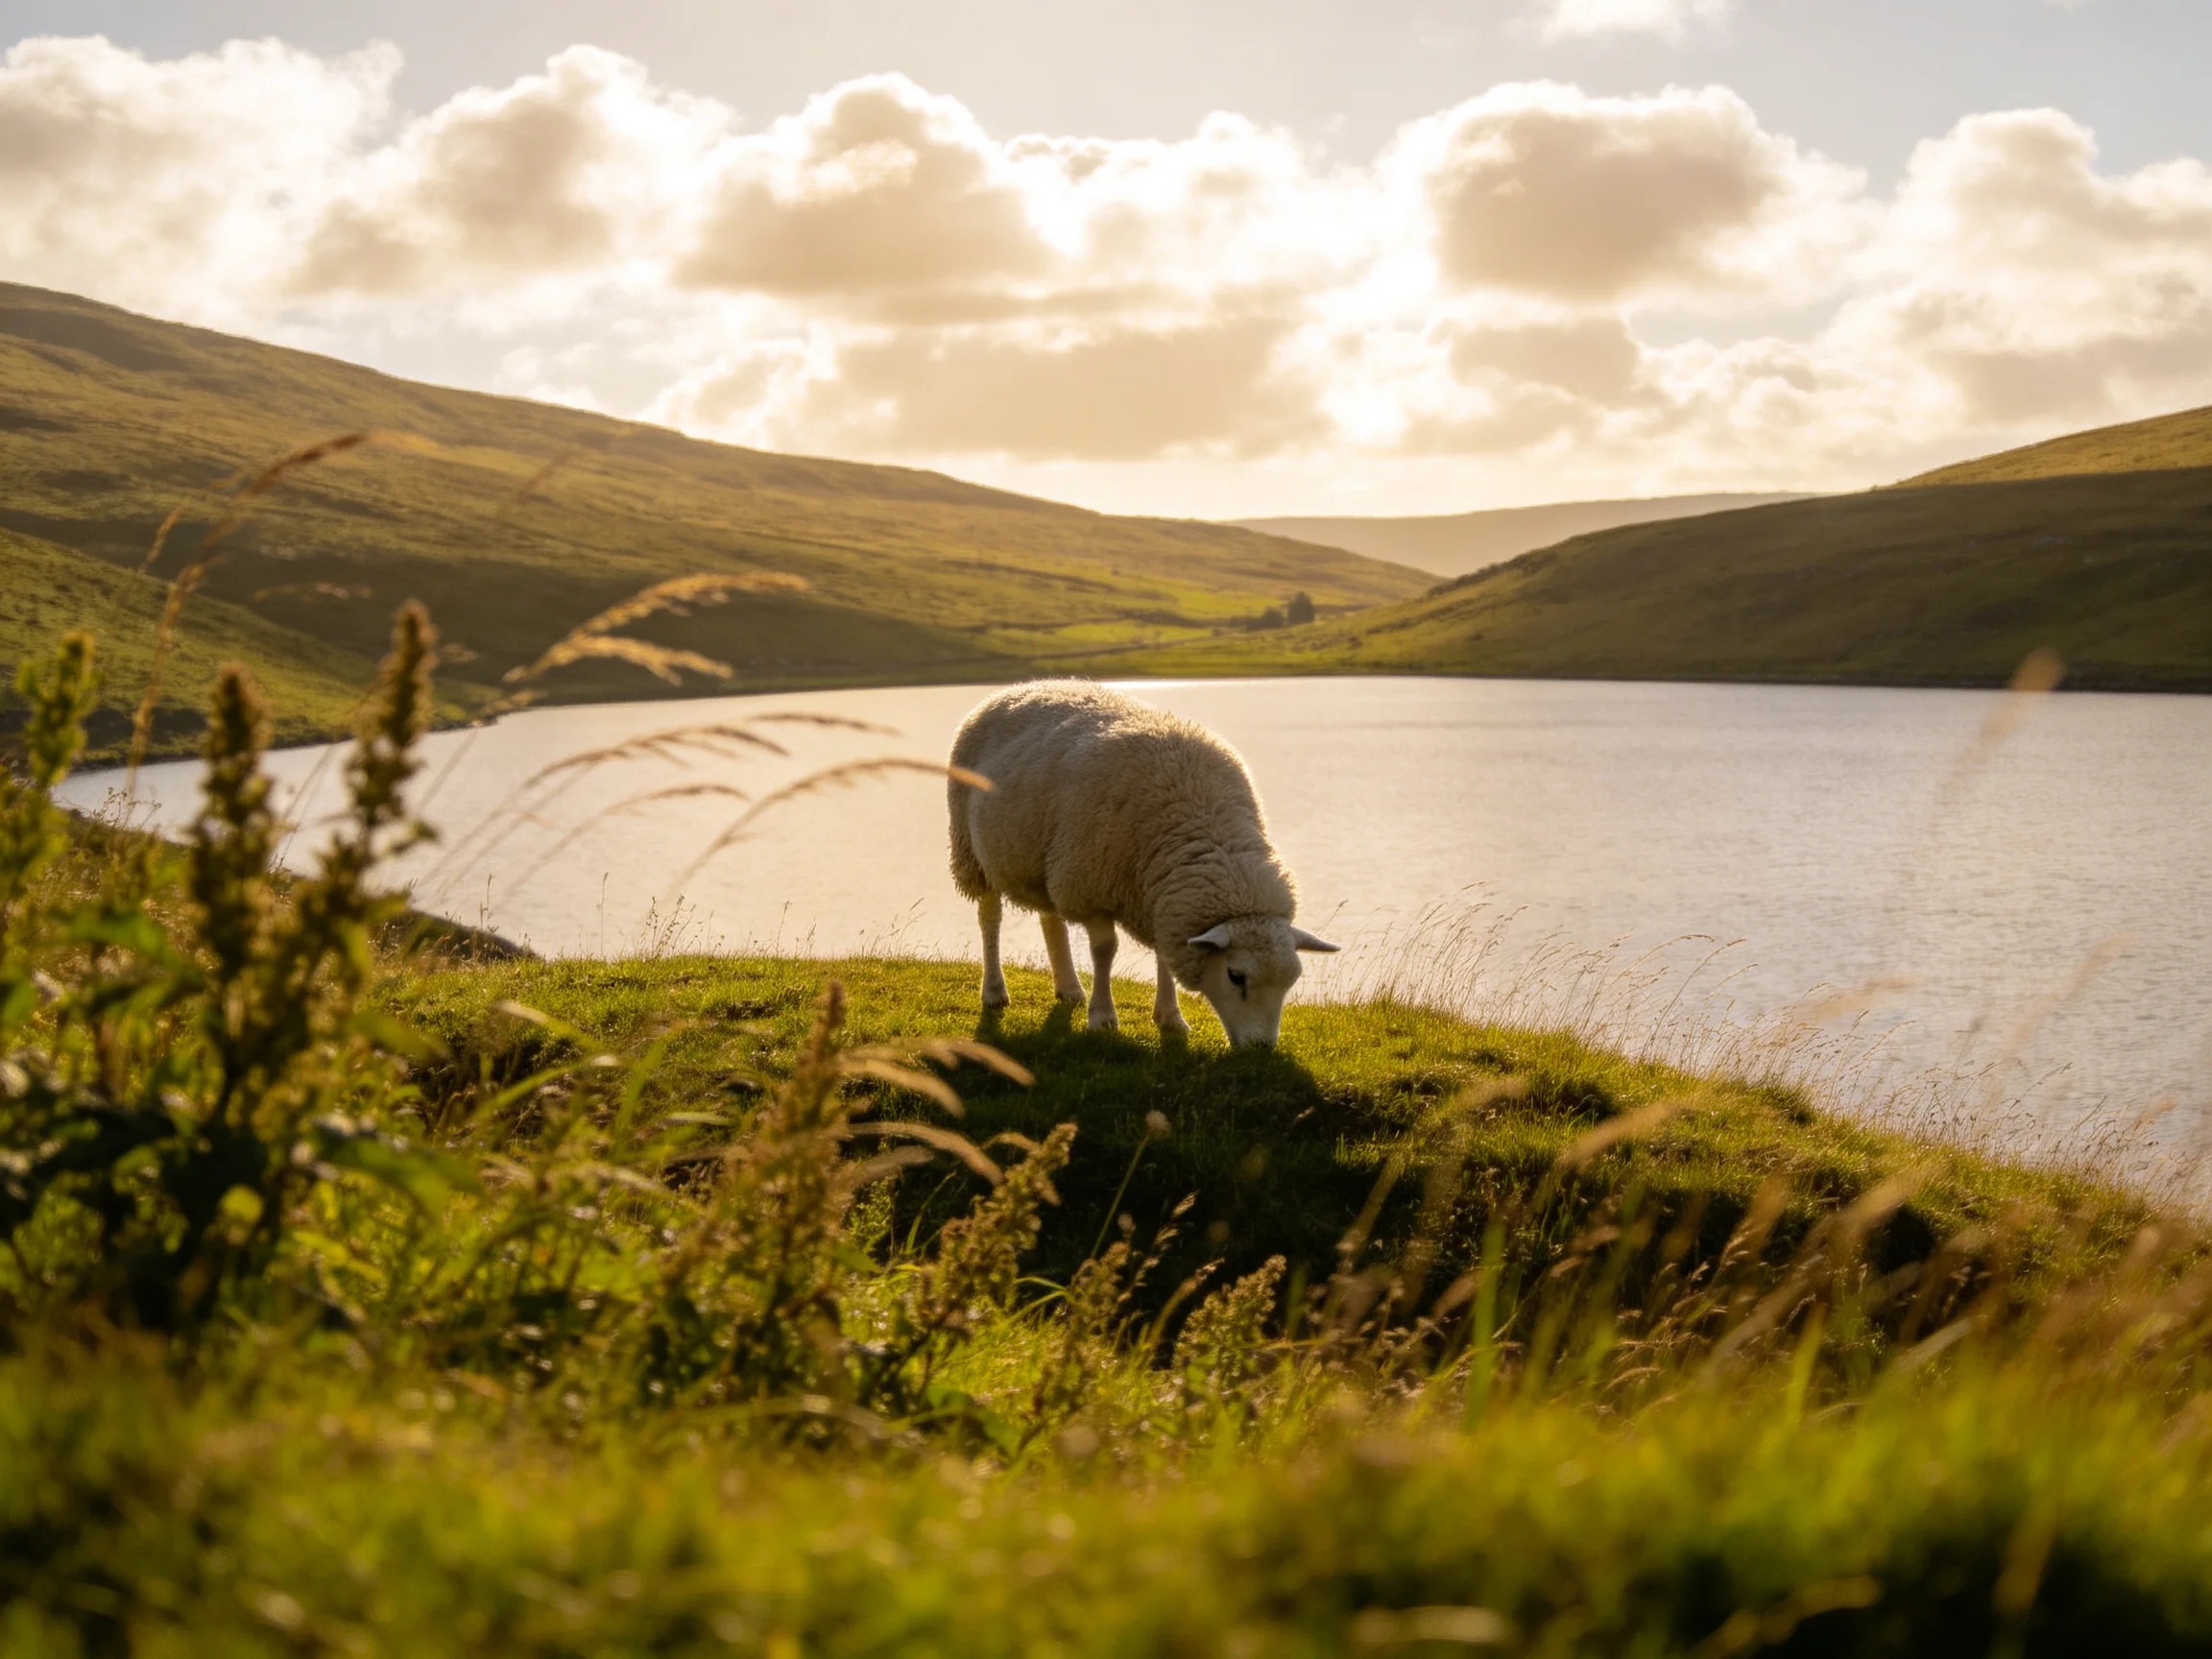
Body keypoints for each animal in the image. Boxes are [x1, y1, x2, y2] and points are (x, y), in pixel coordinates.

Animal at [946, 680, 1338, 1048]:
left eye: (1291, 981)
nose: (1261, 1048)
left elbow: (1163, 956)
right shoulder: (1092, 885)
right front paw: (1103, 1017)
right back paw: (995, 991)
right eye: (1236, 976)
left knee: (1050, 920)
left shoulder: (1156, 894)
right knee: (990, 920)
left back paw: (1069, 988)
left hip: (1043, 860)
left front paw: (1170, 1017)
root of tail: (1017, 688)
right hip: (972, 854)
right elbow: (1104, 951)